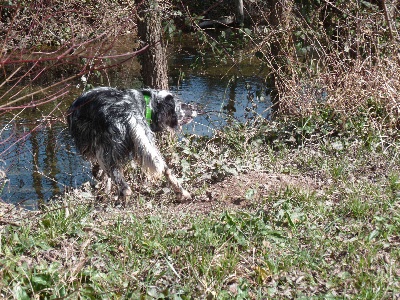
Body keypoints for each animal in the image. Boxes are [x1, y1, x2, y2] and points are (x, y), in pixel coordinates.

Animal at [68, 86, 200, 199]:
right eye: (182, 105)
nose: (195, 108)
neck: (146, 104)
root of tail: (127, 111)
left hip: (106, 155)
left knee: (125, 188)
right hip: (147, 145)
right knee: (165, 169)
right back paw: (183, 193)